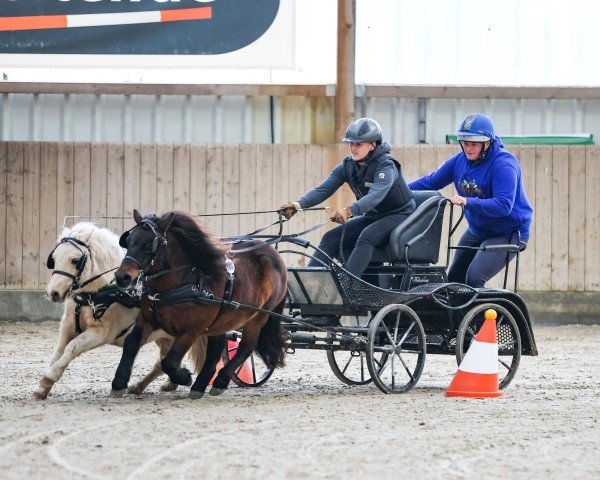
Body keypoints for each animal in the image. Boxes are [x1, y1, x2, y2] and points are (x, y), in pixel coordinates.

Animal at [35, 223, 209, 400]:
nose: (53, 293)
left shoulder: (101, 334)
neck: (100, 292)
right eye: (54, 258)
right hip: (165, 336)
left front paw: (49, 377)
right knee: (162, 363)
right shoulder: (68, 327)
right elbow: (58, 352)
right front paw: (43, 387)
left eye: (75, 260)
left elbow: (71, 348)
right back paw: (146, 386)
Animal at [113, 210, 290, 398]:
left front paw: (184, 377)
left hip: (259, 316)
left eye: (149, 246)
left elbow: (169, 362)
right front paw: (119, 383)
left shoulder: (190, 331)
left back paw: (220, 381)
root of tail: (275, 255)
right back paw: (201, 384)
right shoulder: (147, 319)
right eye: (128, 241)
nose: (122, 277)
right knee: (216, 350)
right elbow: (131, 344)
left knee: (246, 347)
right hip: (223, 319)